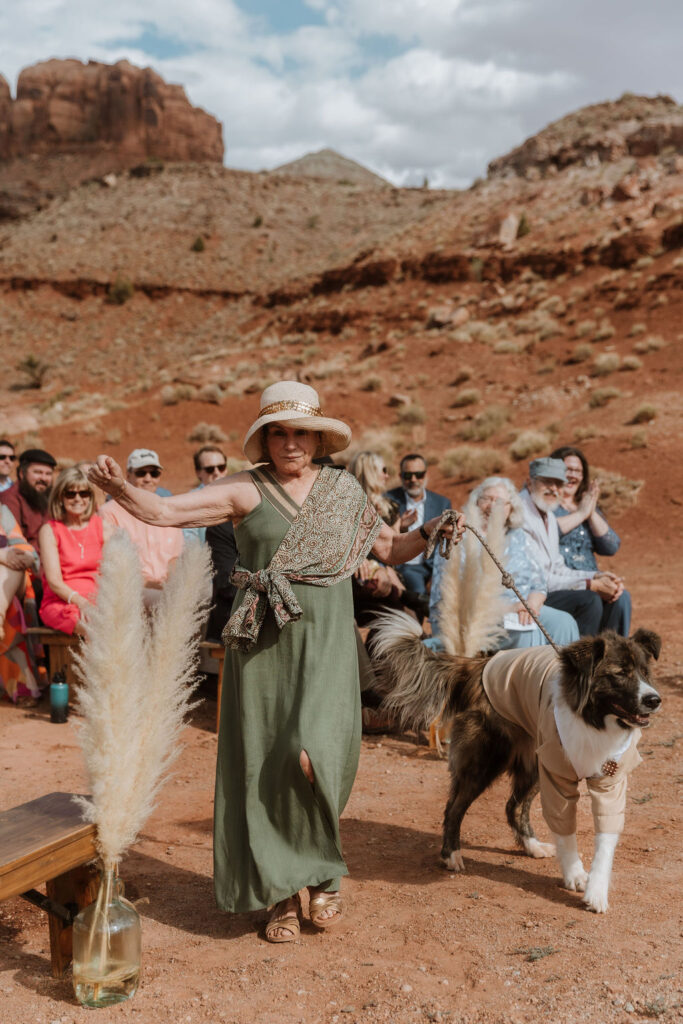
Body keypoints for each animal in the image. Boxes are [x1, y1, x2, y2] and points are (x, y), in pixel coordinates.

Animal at [368, 610, 663, 917]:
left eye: (644, 672)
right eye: (619, 674)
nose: (654, 700)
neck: (593, 720)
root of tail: (476, 665)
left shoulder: (610, 782)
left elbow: (605, 838)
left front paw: (596, 892)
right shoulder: (557, 777)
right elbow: (565, 831)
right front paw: (574, 875)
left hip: (534, 762)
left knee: (514, 806)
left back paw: (532, 847)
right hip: (486, 762)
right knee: (454, 808)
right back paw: (451, 855)